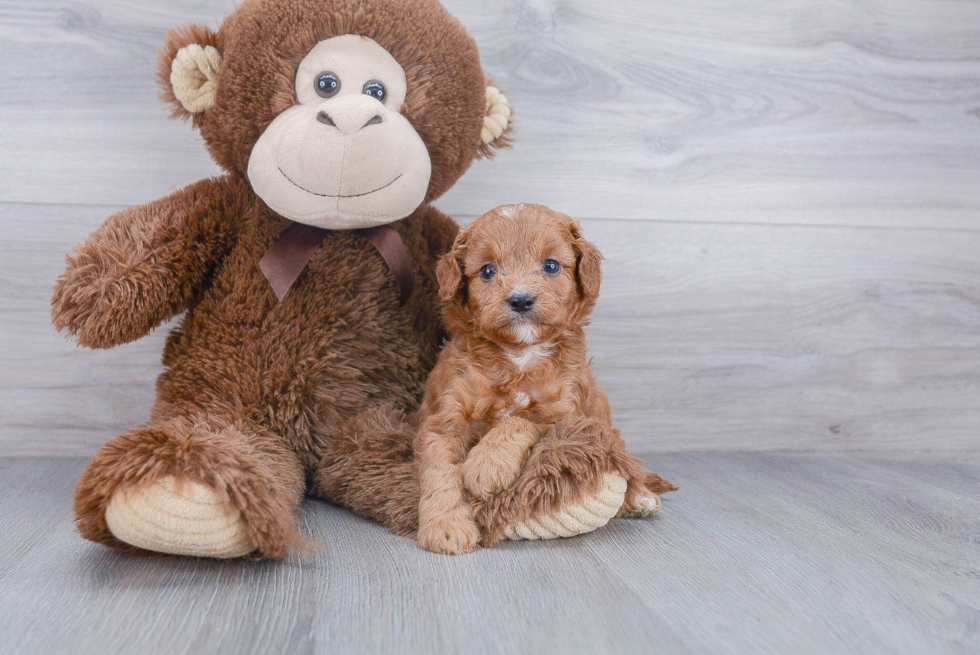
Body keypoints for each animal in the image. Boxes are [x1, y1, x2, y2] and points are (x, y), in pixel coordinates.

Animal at [418, 204, 676, 552]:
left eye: (551, 265)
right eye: (487, 271)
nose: (521, 300)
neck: (519, 355)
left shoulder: (565, 413)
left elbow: (522, 420)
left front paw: (486, 466)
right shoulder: (445, 414)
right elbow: (440, 471)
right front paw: (446, 527)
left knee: (626, 462)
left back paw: (640, 497)